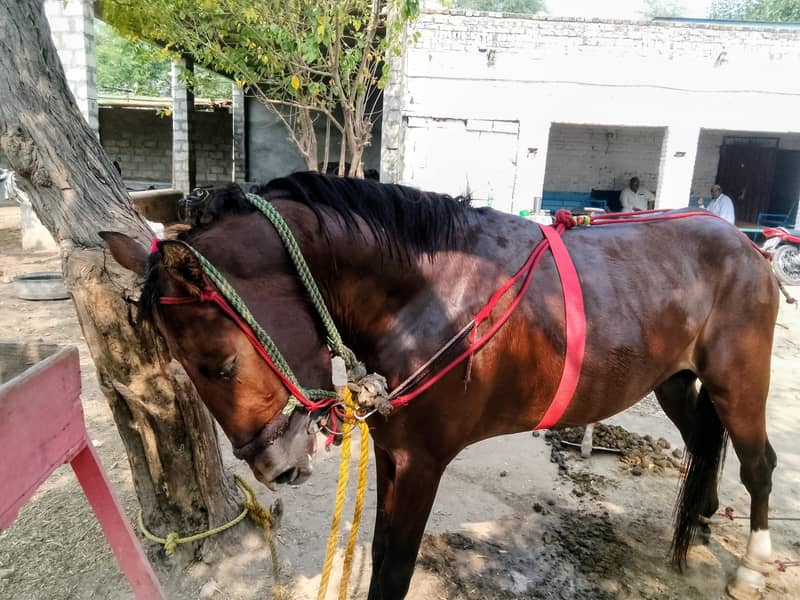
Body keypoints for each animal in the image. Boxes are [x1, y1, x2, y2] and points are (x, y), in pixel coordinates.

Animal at [102, 173, 780, 599]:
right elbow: (380, 555)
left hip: (740, 382)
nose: (275, 467)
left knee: (760, 464)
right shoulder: (391, 452)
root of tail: (746, 247)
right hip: (677, 381)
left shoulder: (422, 460)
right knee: (704, 443)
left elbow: (395, 571)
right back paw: (700, 521)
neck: (428, 292)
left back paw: (752, 566)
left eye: (218, 363)